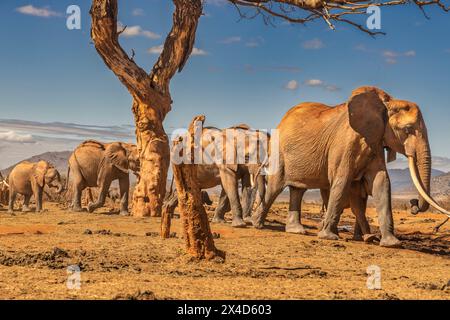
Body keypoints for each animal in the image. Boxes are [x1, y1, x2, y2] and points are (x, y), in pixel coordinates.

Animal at [255, 85, 448, 248]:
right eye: (407, 129)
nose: (413, 203)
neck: (386, 103)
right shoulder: (344, 143)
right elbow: (341, 181)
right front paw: (329, 237)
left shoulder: (375, 141)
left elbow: (381, 182)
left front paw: (391, 243)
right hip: (279, 151)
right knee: (275, 186)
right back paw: (258, 225)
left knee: (298, 189)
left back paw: (296, 231)